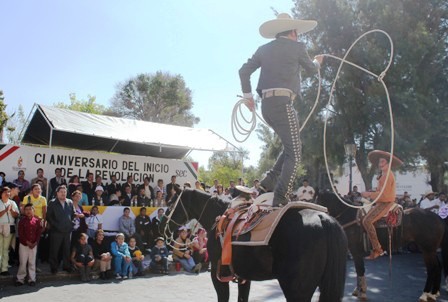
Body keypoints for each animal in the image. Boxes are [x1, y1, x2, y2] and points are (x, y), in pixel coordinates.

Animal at [163, 189, 348, 302]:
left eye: (171, 203)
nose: (160, 224)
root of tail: (323, 219)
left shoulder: (217, 274)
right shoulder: (244, 277)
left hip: (296, 289)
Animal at [316, 192, 448, 300]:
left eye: (317, 199)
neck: (350, 216)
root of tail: (439, 219)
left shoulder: (356, 251)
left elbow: (360, 269)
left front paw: (361, 292)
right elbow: (359, 270)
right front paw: (359, 290)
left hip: (427, 250)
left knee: (432, 268)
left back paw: (425, 294)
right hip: (431, 250)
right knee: (438, 267)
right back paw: (433, 293)